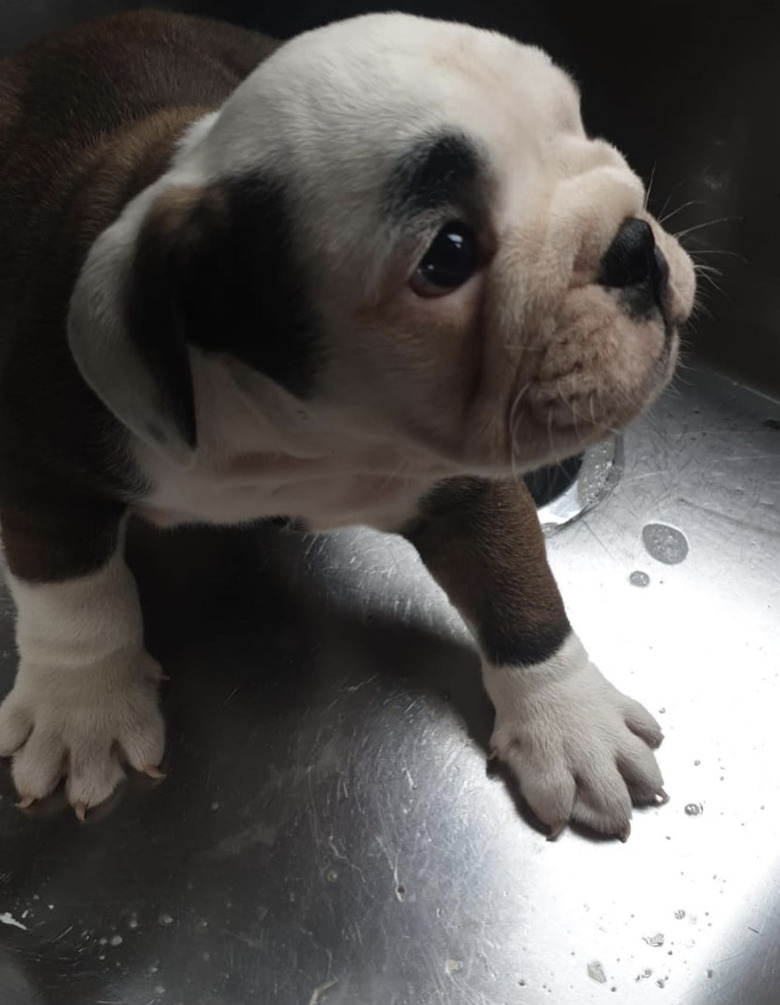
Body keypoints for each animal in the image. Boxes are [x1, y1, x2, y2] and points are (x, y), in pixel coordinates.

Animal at [0, 11, 695, 836]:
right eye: (448, 254)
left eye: (580, 126)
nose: (635, 244)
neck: (305, 436)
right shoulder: (38, 459)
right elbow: (71, 590)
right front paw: (81, 709)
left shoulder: (467, 479)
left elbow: (518, 584)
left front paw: (570, 717)